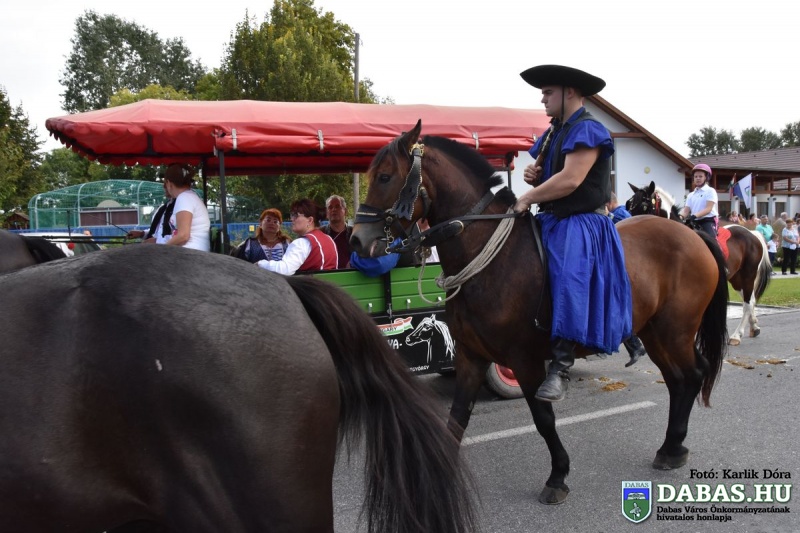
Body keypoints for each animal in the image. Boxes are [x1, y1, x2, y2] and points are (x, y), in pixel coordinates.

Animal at [351, 121, 729, 505]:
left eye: (384, 176)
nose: (356, 240)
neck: (492, 258)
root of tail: (692, 236)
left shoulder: (525, 360)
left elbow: (543, 418)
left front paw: (558, 475)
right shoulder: (471, 357)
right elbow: (457, 418)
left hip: (675, 330)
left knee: (693, 375)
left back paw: (673, 446)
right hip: (656, 333)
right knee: (679, 379)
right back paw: (671, 447)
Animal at [626, 181, 771, 345]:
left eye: (644, 206)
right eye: (630, 206)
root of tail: (752, 233)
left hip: (748, 275)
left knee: (747, 303)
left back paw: (736, 335)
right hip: (737, 279)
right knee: (750, 300)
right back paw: (754, 327)